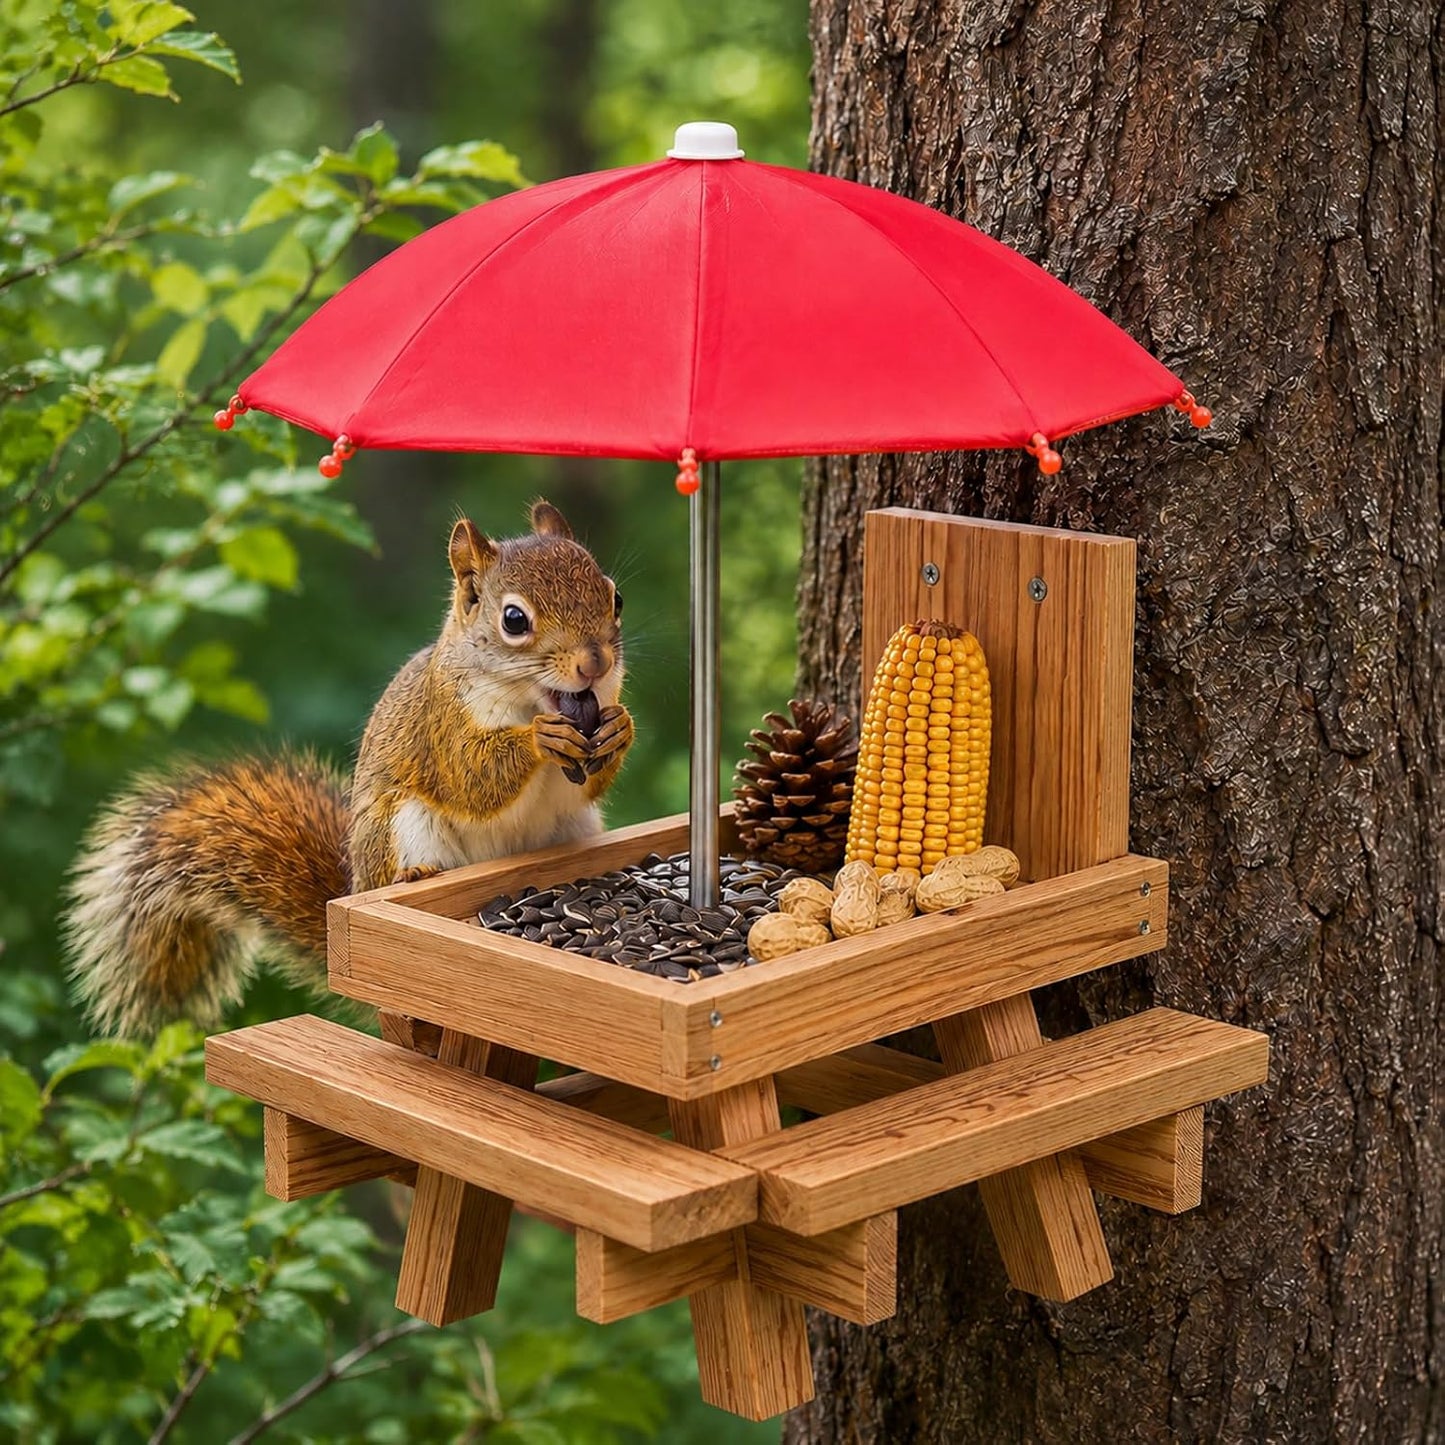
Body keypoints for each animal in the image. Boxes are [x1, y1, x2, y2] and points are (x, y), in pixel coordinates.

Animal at [63, 499, 634, 1038]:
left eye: (615, 598)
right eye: (514, 620)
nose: (595, 663)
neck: (532, 698)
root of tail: (356, 889)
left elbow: (588, 777)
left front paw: (620, 728)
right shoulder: (440, 723)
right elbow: (470, 778)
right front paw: (541, 738)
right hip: (400, 828)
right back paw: (415, 877)